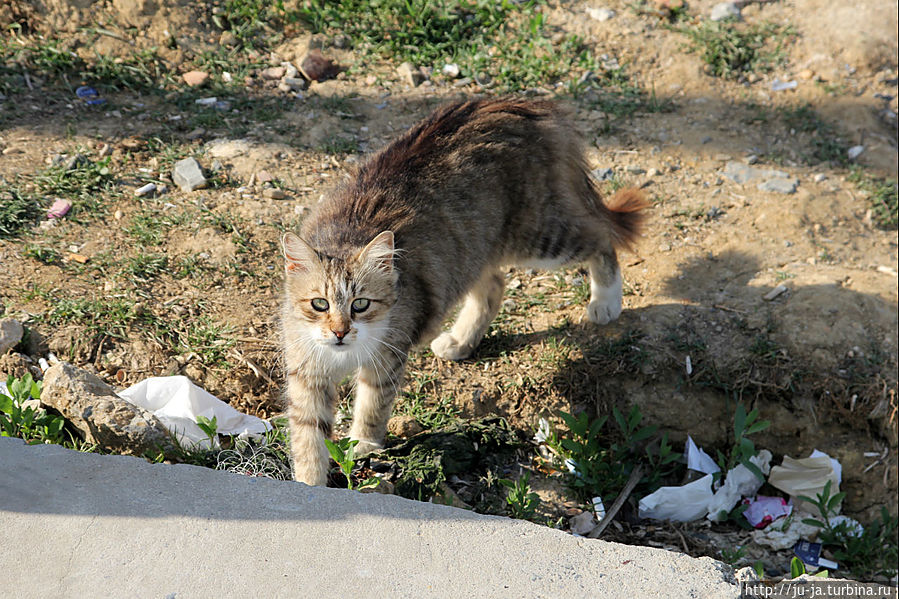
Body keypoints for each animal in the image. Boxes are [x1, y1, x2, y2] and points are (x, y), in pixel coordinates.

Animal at [282, 96, 648, 486]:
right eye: (319, 304)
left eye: (361, 304)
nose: (339, 332)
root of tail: (520, 103)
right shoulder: (307, 372)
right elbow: (309, 436)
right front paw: (310, 483)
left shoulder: (387, 356)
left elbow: (371, 408)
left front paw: (363, 445)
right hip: (474, 252)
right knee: (494, 288)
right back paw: (460, 341)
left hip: (540, 236)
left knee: (602, 238)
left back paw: (606, 302)